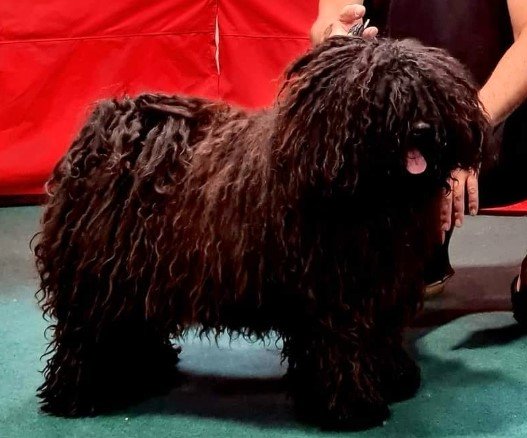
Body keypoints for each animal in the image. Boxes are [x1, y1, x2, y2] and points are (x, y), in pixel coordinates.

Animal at [34, 36, 487, 430]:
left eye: (430, 92)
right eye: (382, 95)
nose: (423, 129)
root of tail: (118, 124)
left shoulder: (384, 285)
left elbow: (381, 336)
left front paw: (393, 378)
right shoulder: (332, 295)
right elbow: (340, 346)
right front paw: (352, 406)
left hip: (140, 276)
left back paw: (148, 371)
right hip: (99, 277)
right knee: (85, 336)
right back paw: (77, 396)